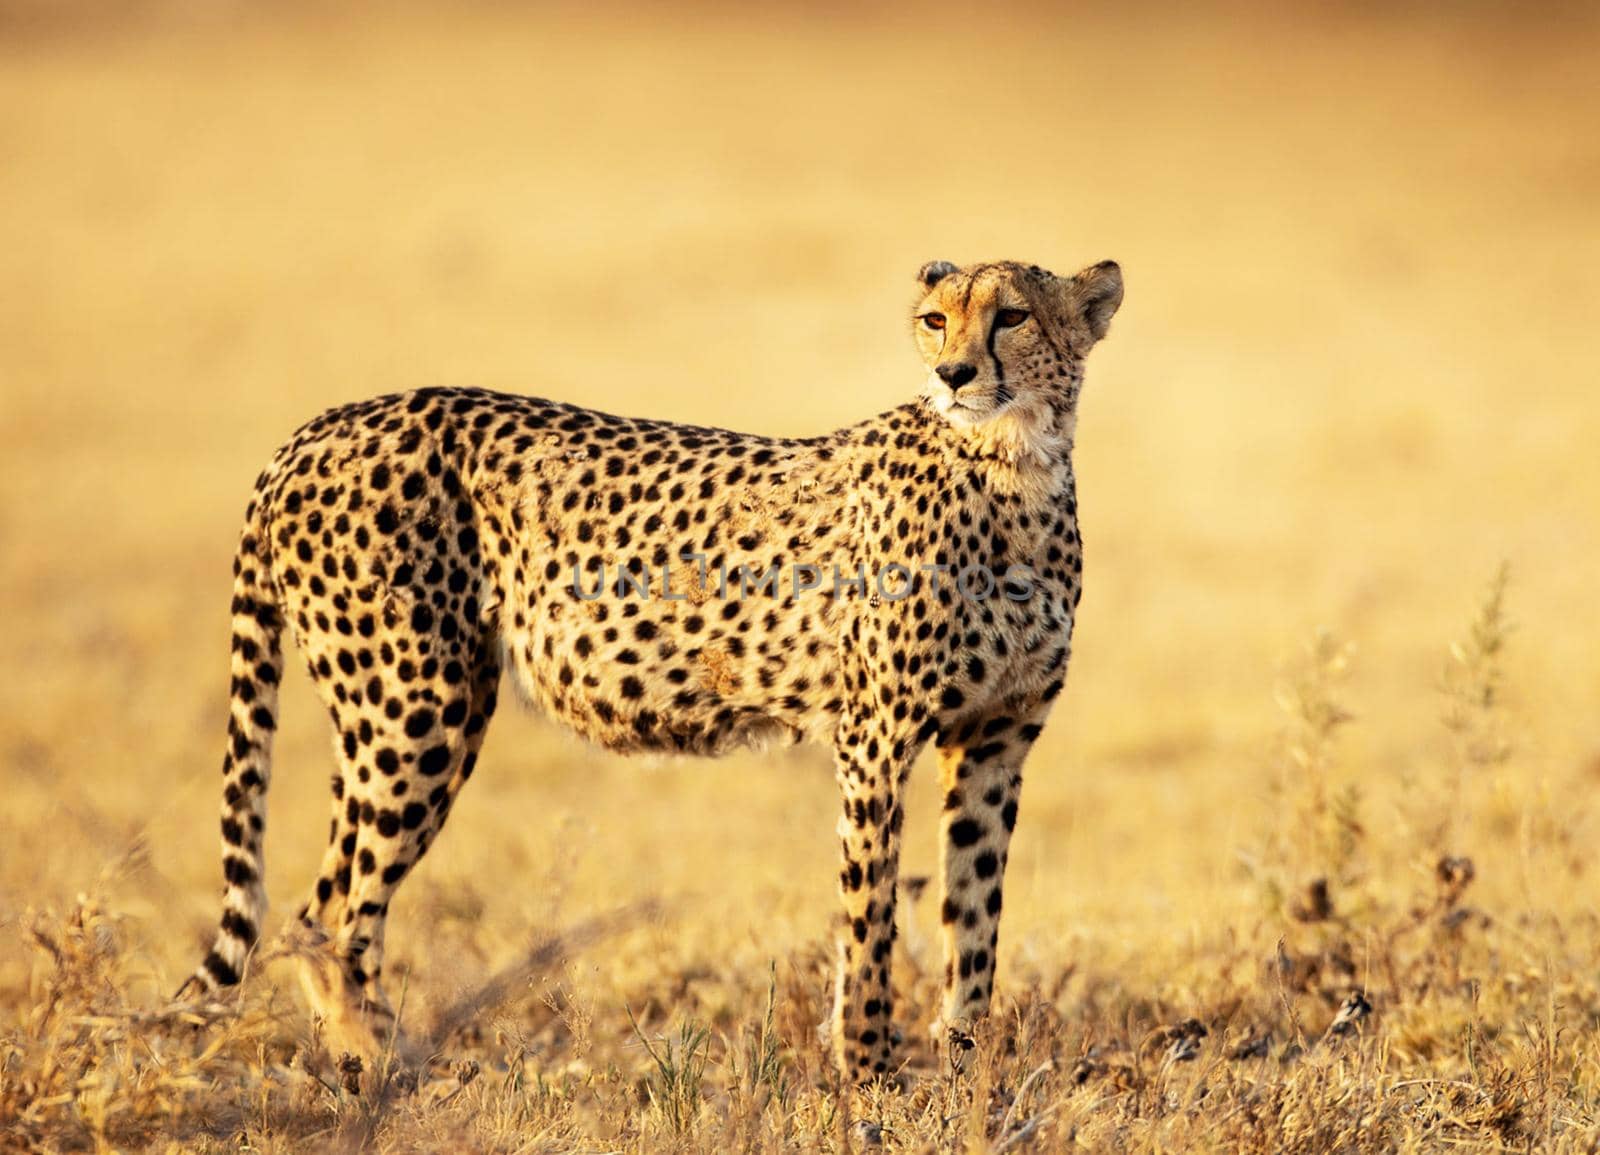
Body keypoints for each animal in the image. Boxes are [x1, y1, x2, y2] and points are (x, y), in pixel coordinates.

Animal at [178, 255, 1126, 1075]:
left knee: (319, 906)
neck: (1015, 468)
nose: (956, 374)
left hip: (397, 711)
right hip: (416, 708)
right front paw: (868, 1075)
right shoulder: (876, 739)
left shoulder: (994, 740)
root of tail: (319, 427)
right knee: (329, 914)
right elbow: (869, 920)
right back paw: (391, 1070)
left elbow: (975, 916)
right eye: (936, 320)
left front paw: (969, 1068)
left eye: (1012, 316)